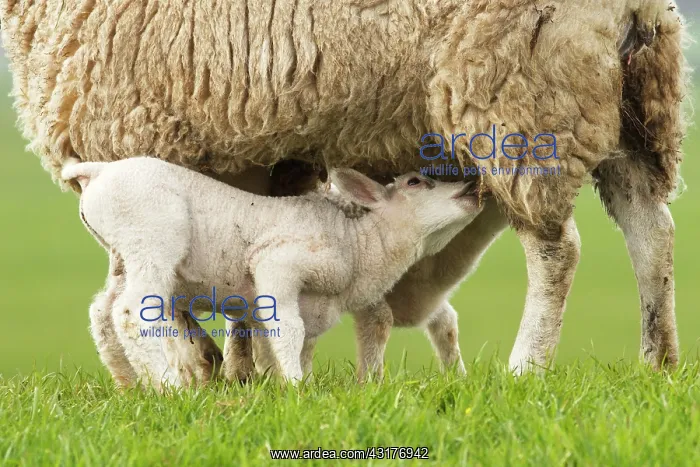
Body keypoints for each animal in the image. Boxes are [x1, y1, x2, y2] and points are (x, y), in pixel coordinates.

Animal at [62, 156, 484, 386]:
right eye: (415, 181)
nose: (473, 187)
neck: (359, 242)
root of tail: (96, 172)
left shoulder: (315, 304)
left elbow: (303, 342)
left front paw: (294, 380)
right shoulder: (278, 262)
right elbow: (289, 328)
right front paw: (297, 387)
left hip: (121, 253)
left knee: (102, 313)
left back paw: (130, 384)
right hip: (150, 236)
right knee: (131, 311)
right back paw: (169, 387)